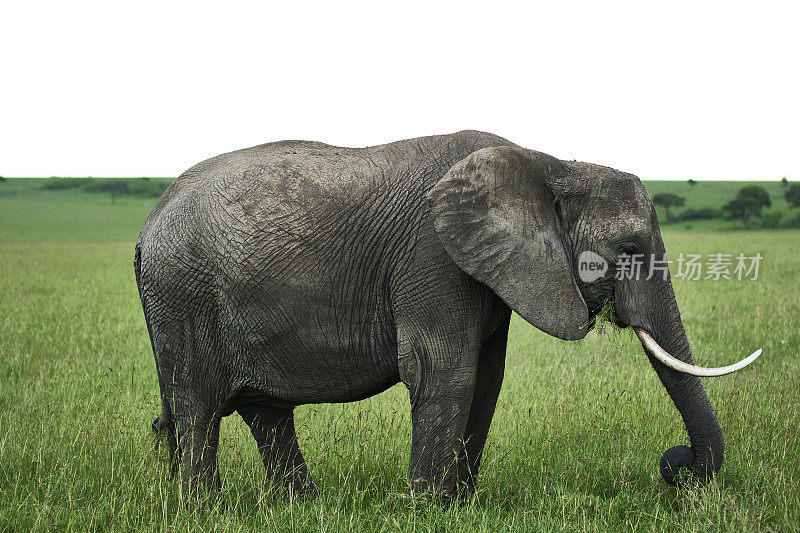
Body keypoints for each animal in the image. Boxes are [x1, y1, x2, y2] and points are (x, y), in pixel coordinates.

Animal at [134, 131, 760, 500]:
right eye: (629, 248)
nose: (675, 465)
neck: (550, 165)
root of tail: (146, 227)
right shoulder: (433, 256)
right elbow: (444, 372)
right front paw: (427, 508)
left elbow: (486, 379)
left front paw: (460, 505)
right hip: (182, 295)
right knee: (197, 409)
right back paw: (205, 508)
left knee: (264, 413)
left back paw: (299, 506)